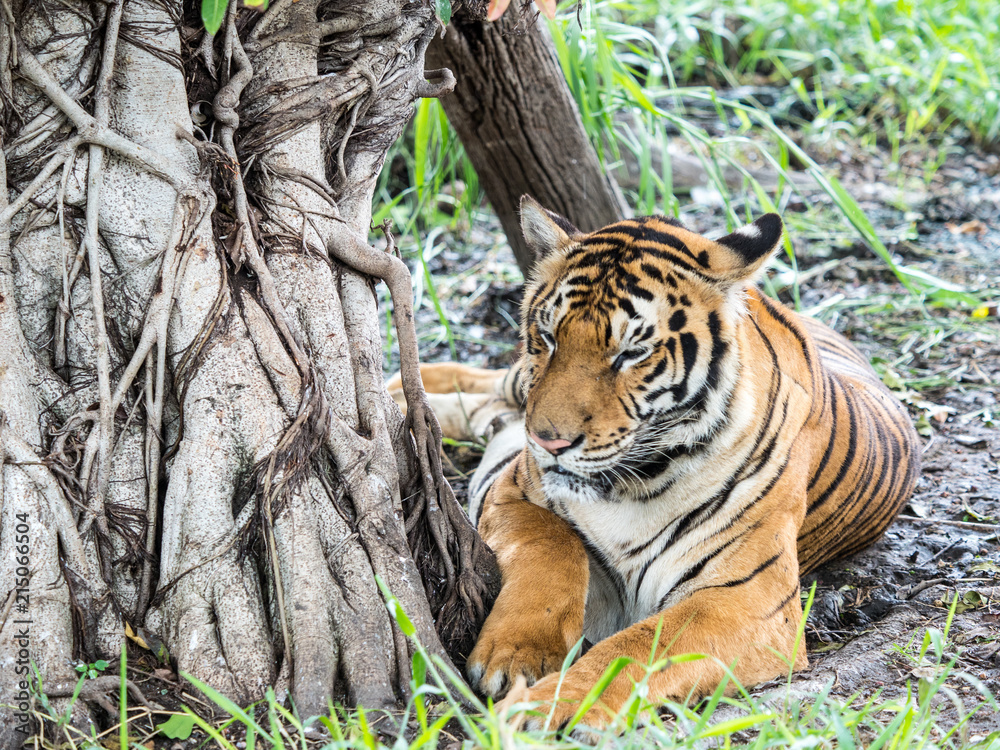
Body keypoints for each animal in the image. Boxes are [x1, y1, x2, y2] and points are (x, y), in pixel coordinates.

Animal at [388, 196, 920, 735]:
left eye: (632, 353)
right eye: (549, 336)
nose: (547, 440)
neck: (637, 481)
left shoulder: (747, 600)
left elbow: (641, 648)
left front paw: (548, 709)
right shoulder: (514, 488)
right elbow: (552, 544)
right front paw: (517, 656)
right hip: (517, 386)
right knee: (489, 383)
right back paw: (399, 392)